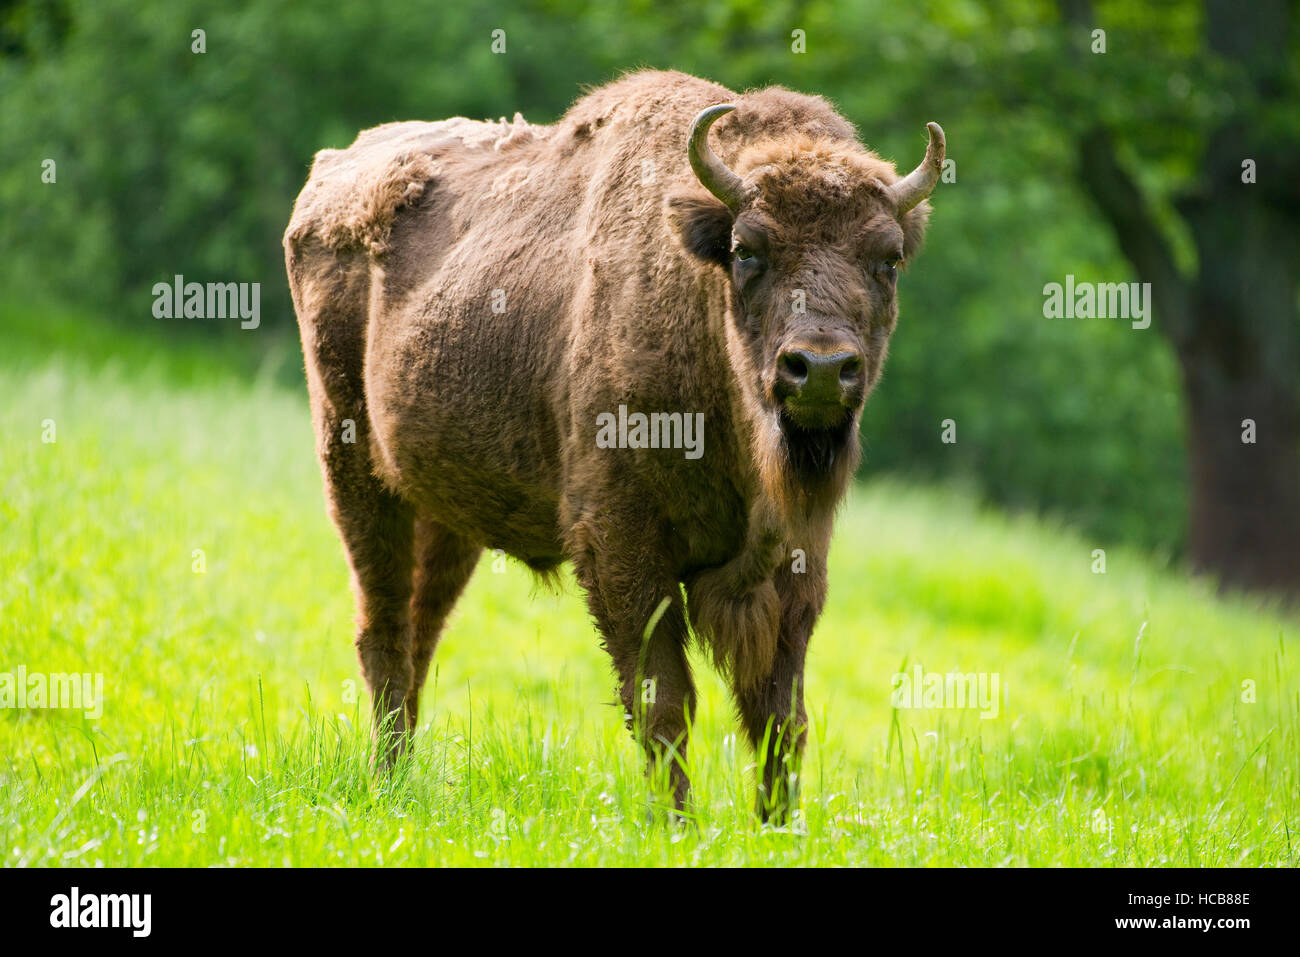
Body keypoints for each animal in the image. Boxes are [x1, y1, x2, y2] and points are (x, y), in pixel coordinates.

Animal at [284, 70, 946, 821]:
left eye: (887, 258)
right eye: (747, 249)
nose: (823, 368)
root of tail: (329, 177)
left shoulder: (795, 562)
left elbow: (780, 715)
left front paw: (778, 825)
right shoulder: (621, 544)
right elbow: (664, 700)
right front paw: (677, 823)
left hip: (444, 515)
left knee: (421, 631)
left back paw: (398, 778)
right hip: (355, 473)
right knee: (384, 628)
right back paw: (385, 778)